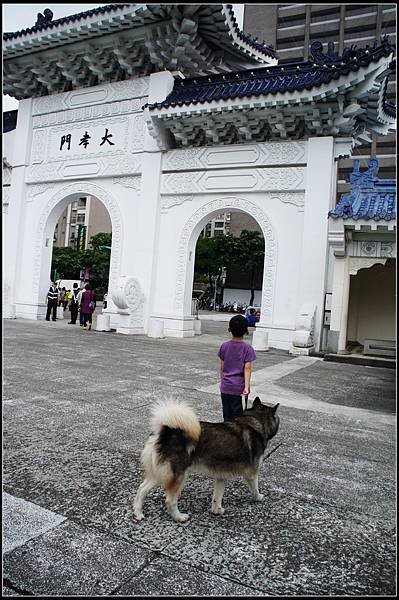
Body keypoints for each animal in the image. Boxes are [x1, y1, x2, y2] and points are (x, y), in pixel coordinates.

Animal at [133, 396, 280, 524]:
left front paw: (216, 510)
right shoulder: (251, 473)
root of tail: (166, 431)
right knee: (170, 501)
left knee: (141, 489)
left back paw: (138, 513)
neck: (255, 421)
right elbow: (255, 488)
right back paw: (179, 517)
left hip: (159, 473)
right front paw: (258, 498)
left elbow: (217, 497)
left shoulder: (221, 476)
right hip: (179, 475)